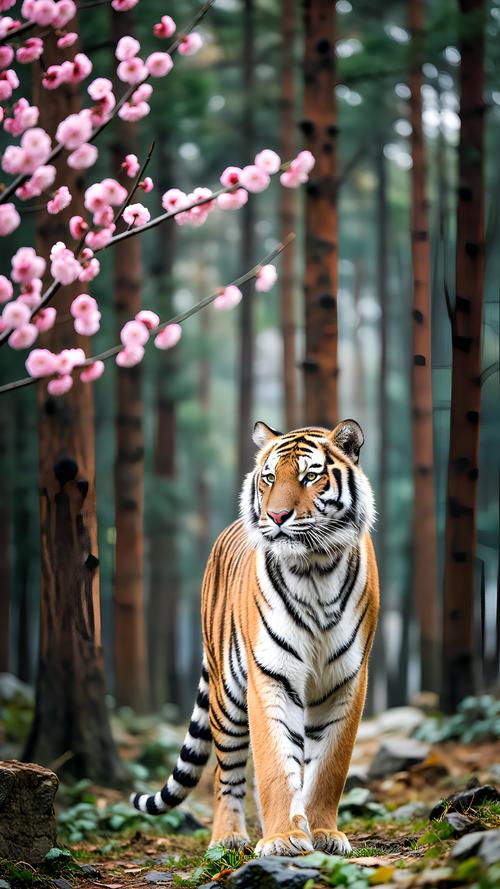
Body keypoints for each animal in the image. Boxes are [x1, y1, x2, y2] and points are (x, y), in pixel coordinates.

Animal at [131, 419, 379, 857]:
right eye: (269, 478)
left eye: (310, 476)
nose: (276, 515)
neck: (316, 569)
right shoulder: (271, 674)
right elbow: (275, 763)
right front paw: (281, 839)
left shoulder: (348, 679)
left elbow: (330, 766)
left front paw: (323, 833)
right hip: (227, 696)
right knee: (224, 773)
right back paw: (227, 838)